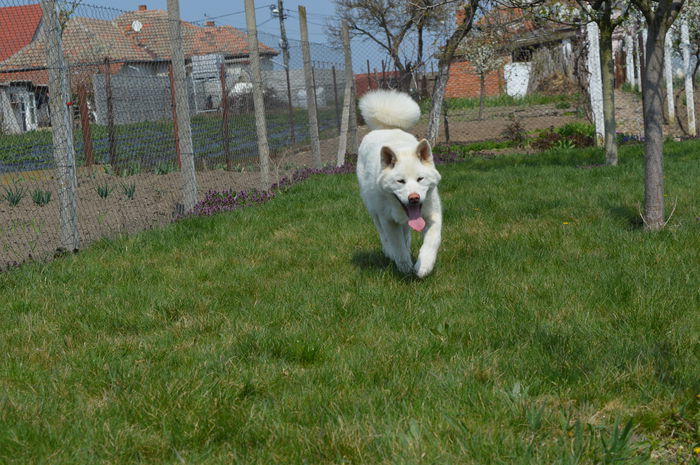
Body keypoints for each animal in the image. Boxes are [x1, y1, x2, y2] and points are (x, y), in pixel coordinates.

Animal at [358, 89, 440, 278]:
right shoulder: (388, 221)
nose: (414, 198)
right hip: (374, 211)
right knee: (384, 236)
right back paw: (389, 252)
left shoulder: (434, 215)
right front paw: (404, 267)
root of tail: (386, 129)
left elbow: (431, 242)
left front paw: (424, 266)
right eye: (400, 181)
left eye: (420, 179)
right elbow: (397, 245)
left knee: (406, 233)